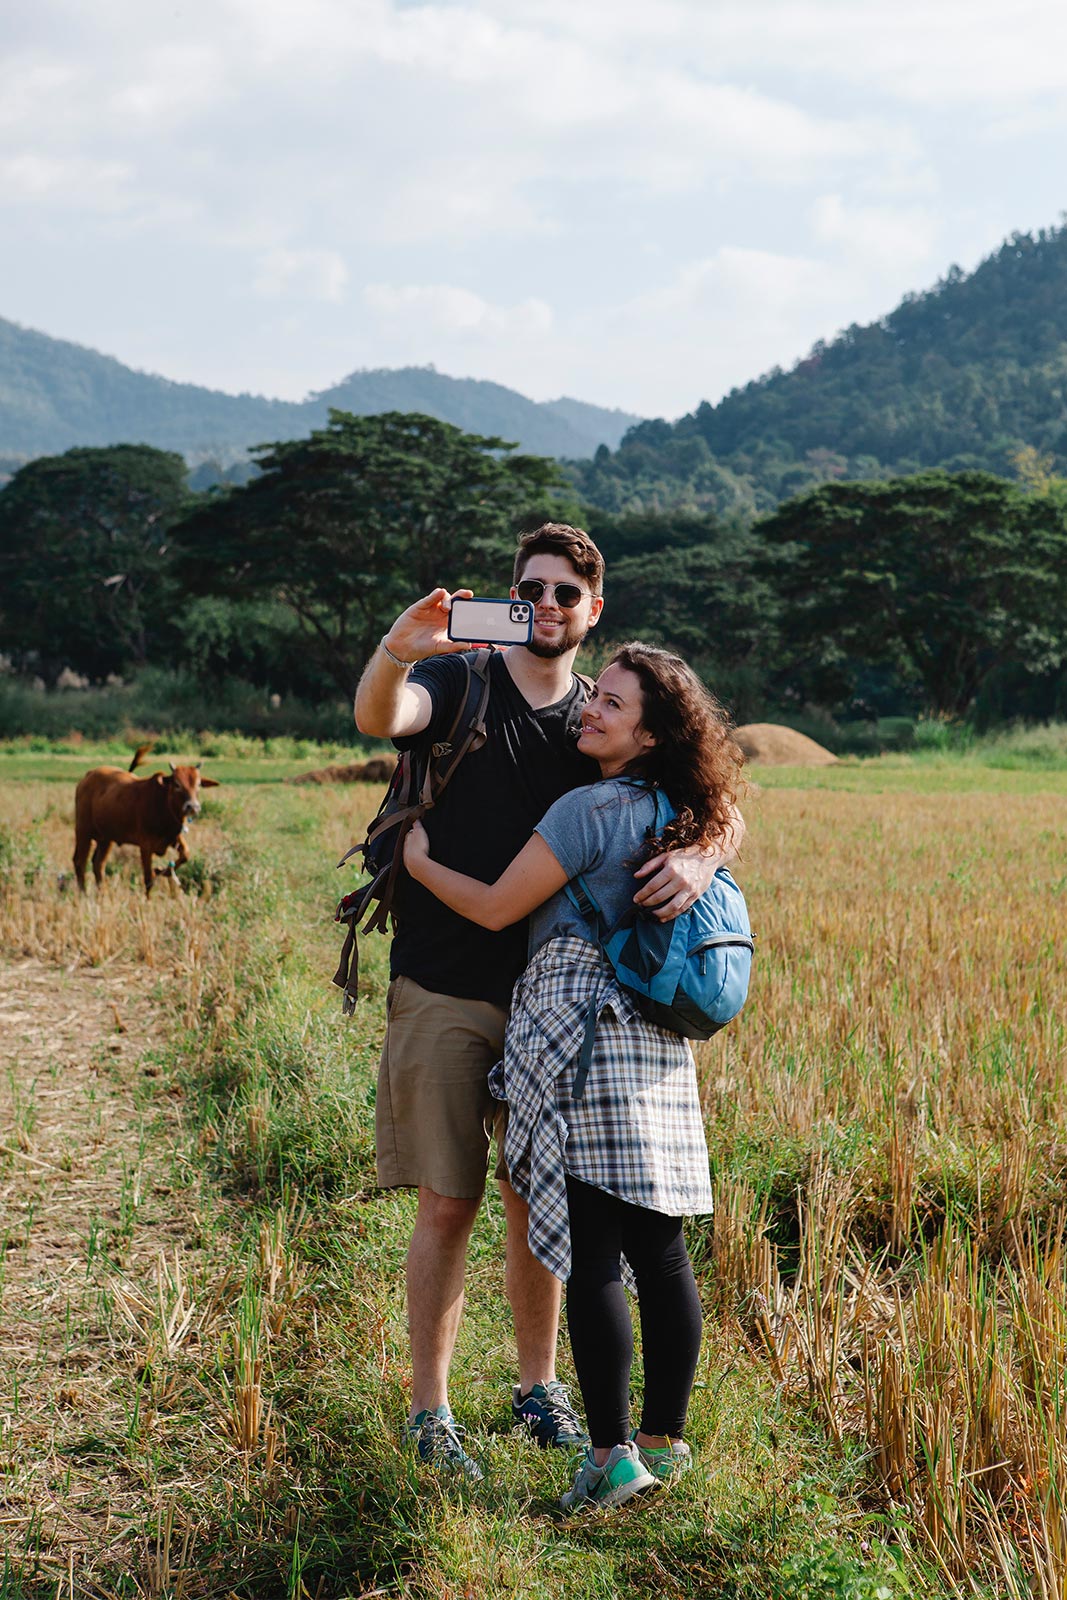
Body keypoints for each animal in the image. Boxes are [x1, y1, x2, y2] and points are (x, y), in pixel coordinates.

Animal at [73, 752, 219, 902]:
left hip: (106, 839)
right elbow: (149, 878)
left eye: (198, 784)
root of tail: (89, 775)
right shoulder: (145, 846)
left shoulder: (173, 837)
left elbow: (185, 855)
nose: (193, 807)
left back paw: (102, 895)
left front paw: (161, 870)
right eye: (177, 784)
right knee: (80, 862)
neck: (164, 804)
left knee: (98, 864)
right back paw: (83, 894)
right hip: (83, 832)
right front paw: (148, 901)